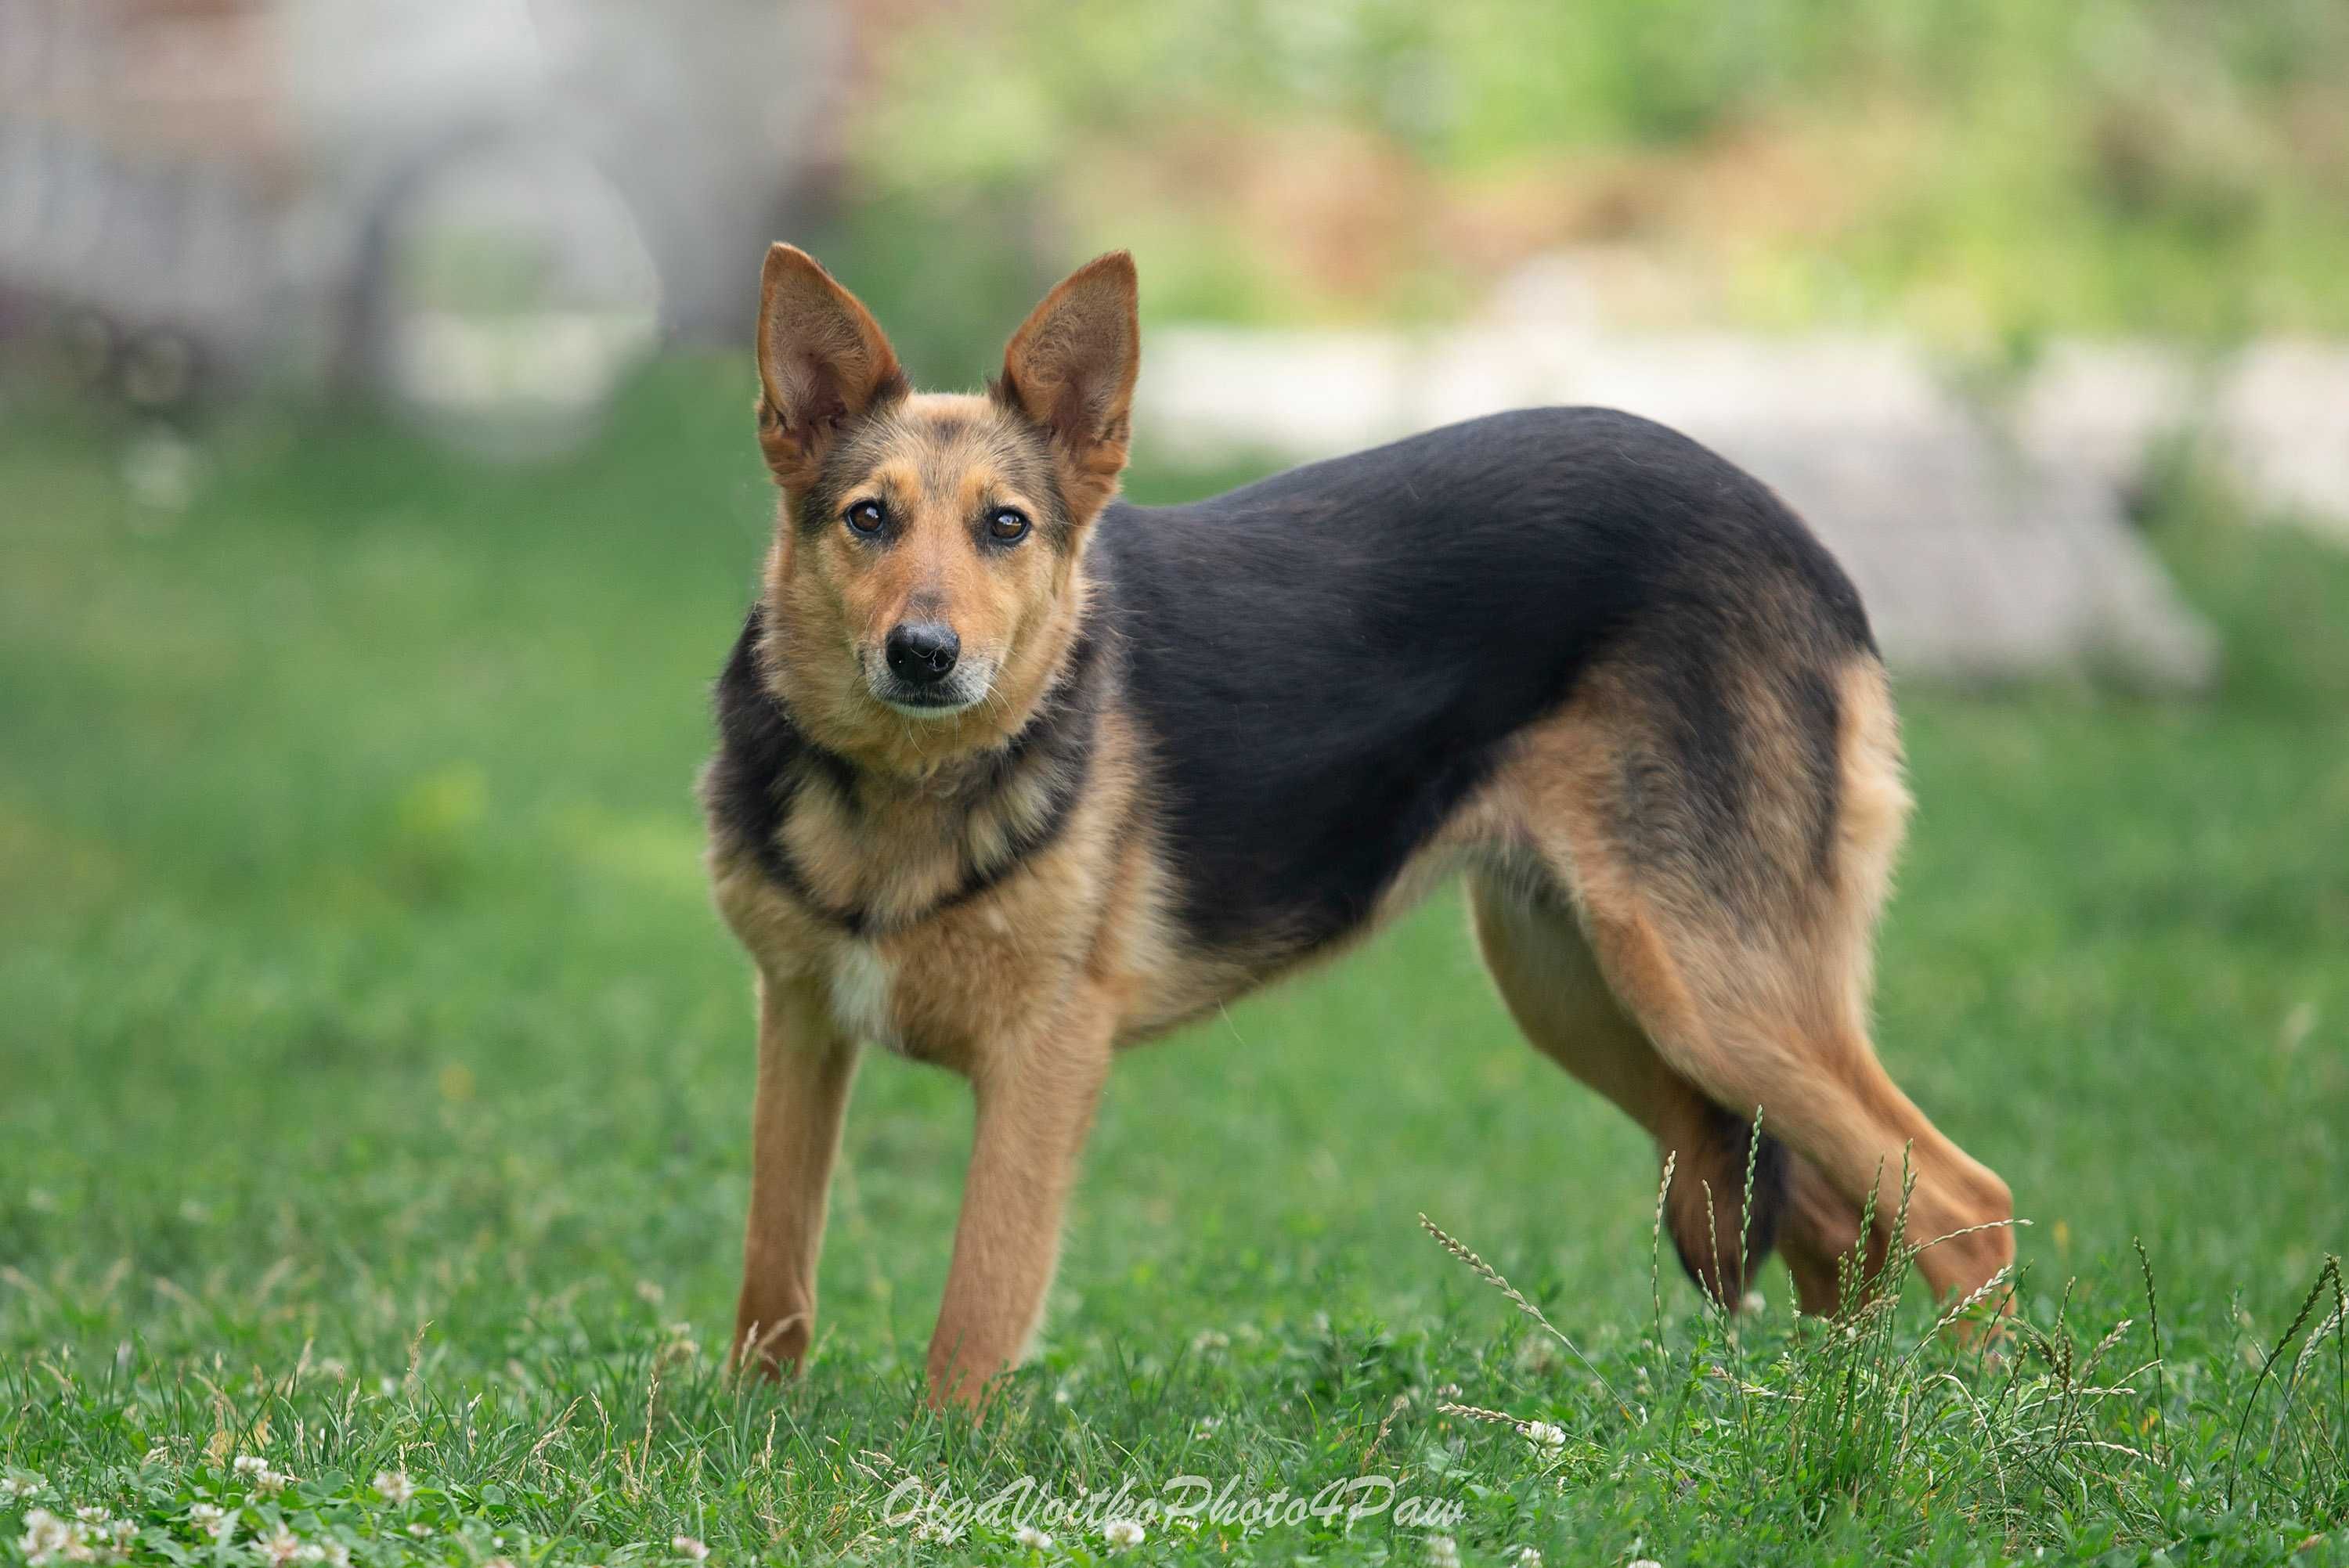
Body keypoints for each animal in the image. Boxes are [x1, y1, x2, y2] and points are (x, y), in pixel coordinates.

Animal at [700, 247, 2020, 1408]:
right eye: (868, 519)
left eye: (1007, 526)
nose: (922, 655)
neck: (905, 784)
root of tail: (1804, 542)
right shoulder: (798, 1019)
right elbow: (772, 1273)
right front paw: (754, 1431)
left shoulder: (1043, 1058)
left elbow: (974, 1317)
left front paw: (936, 1471)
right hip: (1589, 996)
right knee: (1845, 1224)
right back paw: (1822, 1413)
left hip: (1705, 990)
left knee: (1963, 1207)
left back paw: (1977, 1434)